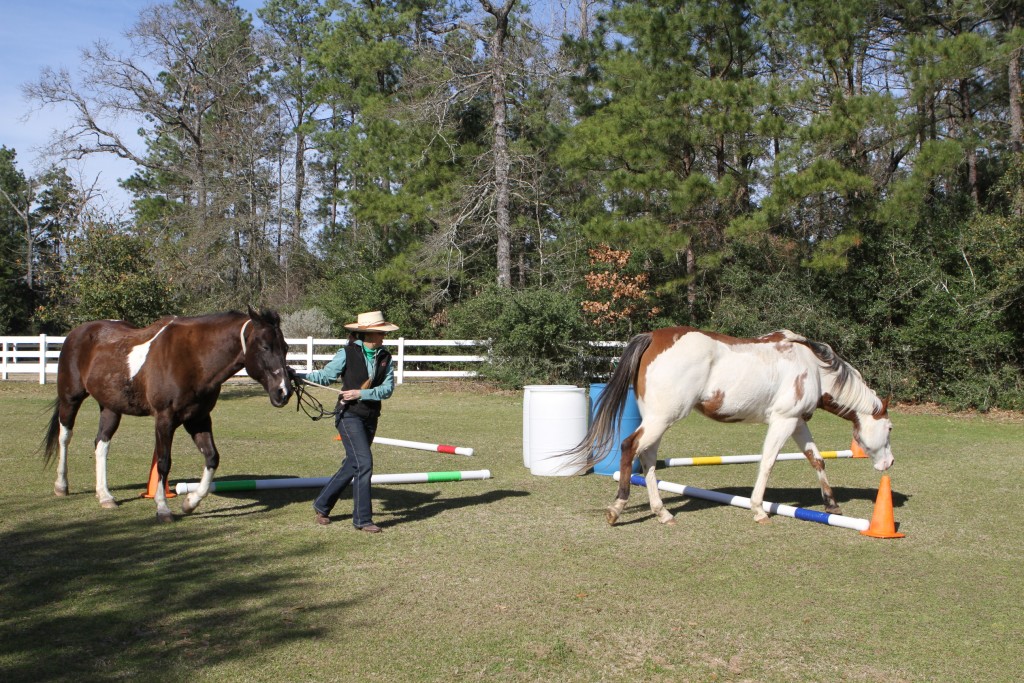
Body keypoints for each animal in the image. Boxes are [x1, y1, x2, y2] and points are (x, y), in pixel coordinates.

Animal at [42, 307, 294, 522]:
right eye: (265, 347)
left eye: (286, 347)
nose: (284, 391)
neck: (193, 358)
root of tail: (78, 332)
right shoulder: (165, 419)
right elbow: (163, 462)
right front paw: (163, 508)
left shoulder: (198, 419)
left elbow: (212, 457)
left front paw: (190, 502)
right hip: (70, 399)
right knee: (65, 437)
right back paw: (61, 485)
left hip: (110, 407)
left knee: (101, 444)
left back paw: (105, 496)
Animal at [558, 327, 894, 525]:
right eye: (890, 429)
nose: (889, 462)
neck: (813, 367)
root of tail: (654, 337)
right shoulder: (783, 420)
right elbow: (768, 462)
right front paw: (758, 509)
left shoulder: (797, 421)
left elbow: (817, 459)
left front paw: (832, 505)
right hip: (661, 419)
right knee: (631, 447)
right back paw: (617, 508)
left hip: (657, 419)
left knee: (648, 457)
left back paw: (662, 512)